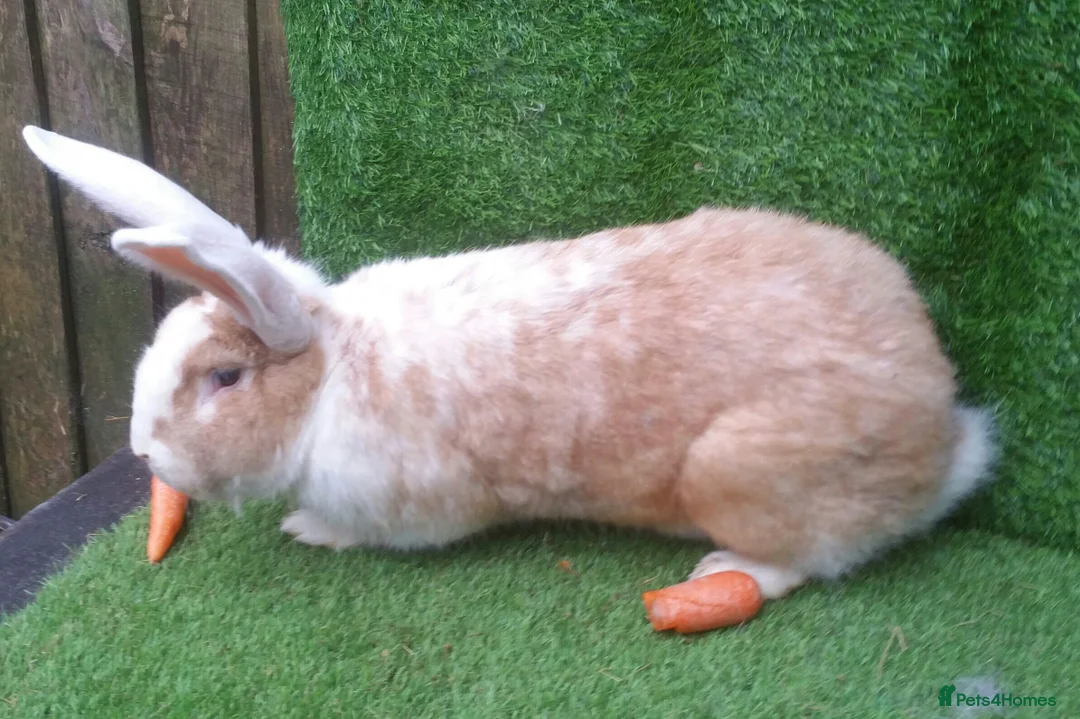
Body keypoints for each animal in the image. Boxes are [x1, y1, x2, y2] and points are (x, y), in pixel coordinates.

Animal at [21, 126, 996, 599]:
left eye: (224, 378)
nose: (143, 453)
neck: (333, 372)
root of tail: (948, 425)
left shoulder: (415, 502)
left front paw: (309, 529)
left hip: (742, 472)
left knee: (809, 559)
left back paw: (724, 575)